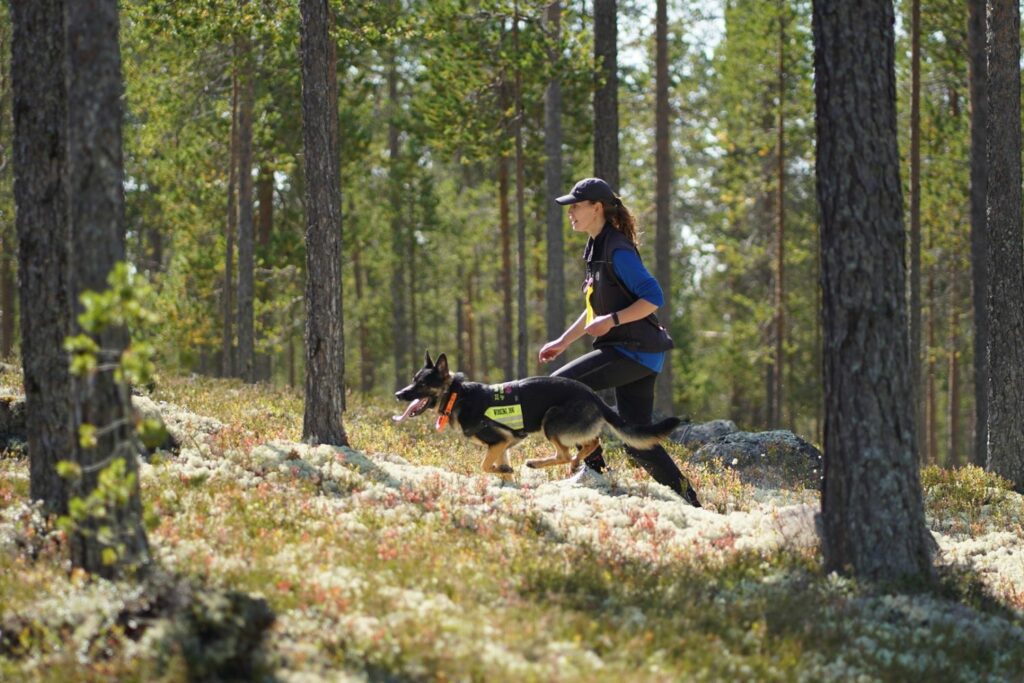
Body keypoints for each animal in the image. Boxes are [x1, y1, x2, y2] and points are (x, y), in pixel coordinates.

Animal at [395, 350, 684, 479]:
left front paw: (502, 470)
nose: (399, 394)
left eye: (421, 384)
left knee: (565, 452)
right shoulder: (503, 445)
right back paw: (576, 463)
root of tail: (592, 395)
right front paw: (506, 477)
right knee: (592, 442)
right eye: (413, 380)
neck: (457, 395)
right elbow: (498, 468)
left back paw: (539, 463)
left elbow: (484, 466)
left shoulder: (498, 442)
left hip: (551, 422)